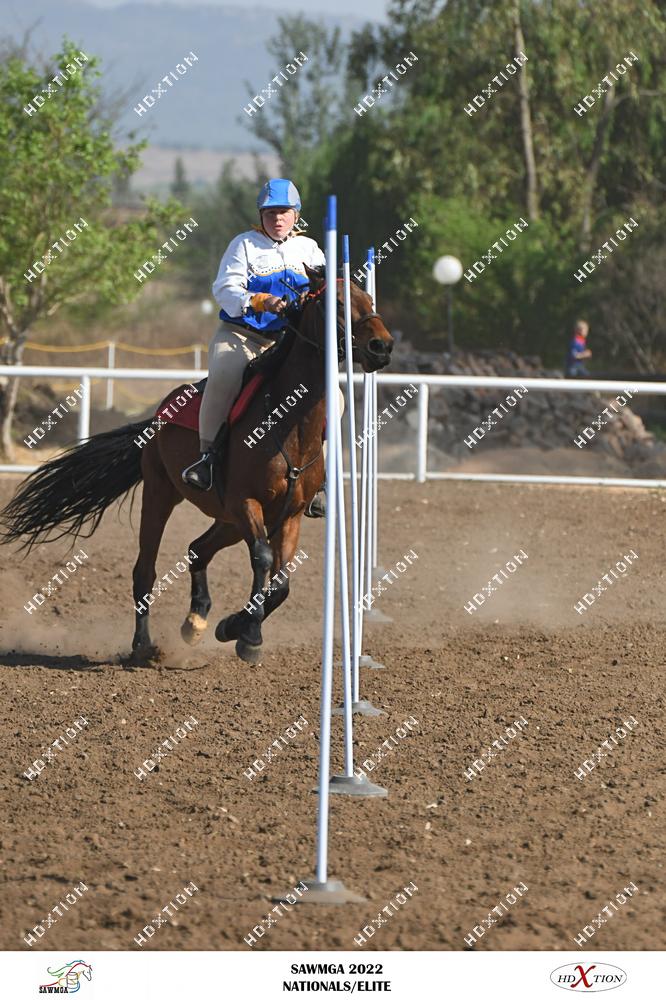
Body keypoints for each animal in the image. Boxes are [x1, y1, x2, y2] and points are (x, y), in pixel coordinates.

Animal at [1, 265, 393, 664]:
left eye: (369, 299)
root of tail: (158, 415)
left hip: (228, 521)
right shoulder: (246, 503)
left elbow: (281, 584)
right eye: (339, 303)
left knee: (197, 549)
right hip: (161, 496)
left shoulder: (290, 515)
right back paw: (143, 645)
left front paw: (234, 626)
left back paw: (197, 620)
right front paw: (249, 636)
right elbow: (263, 559)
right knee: (145, 571)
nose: (382, 346)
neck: (289, 425)